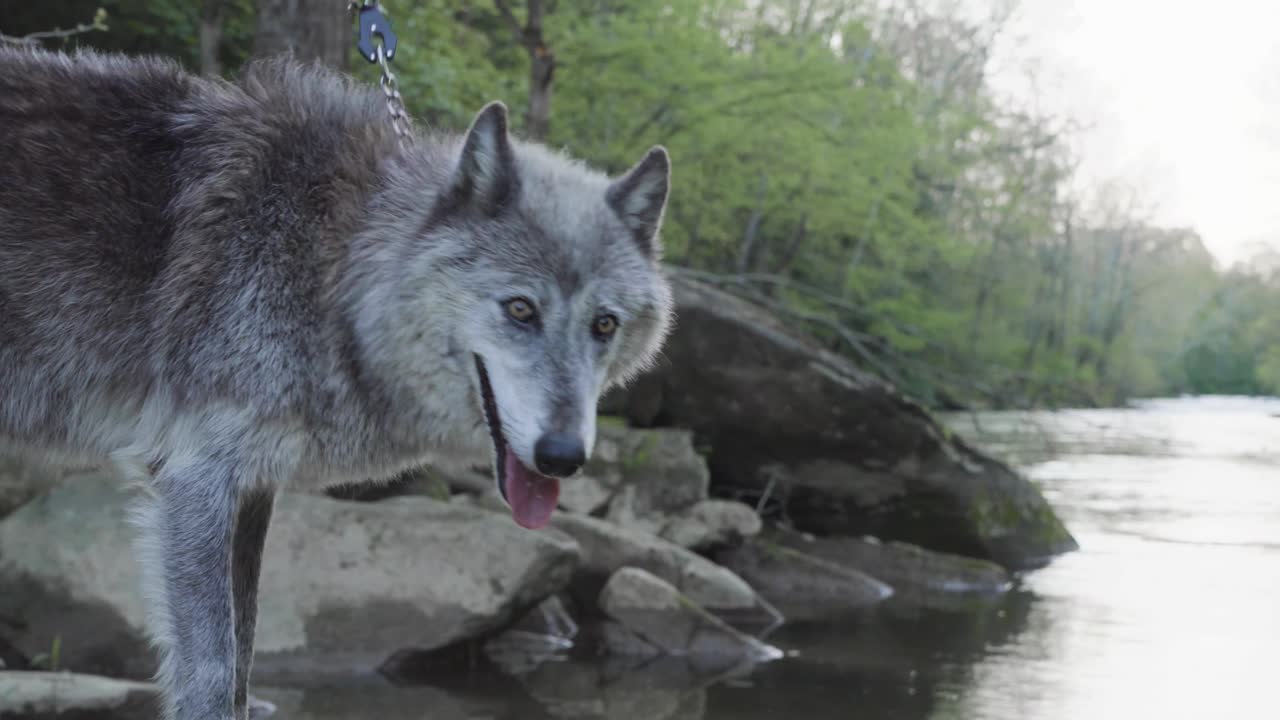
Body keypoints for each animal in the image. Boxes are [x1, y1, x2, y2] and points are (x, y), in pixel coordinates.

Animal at [0, 46, 674, 719]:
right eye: (521, 310)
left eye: (604, 324)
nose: (563, 456)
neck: (333, 262)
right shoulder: (194, 480)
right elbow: (213, 675)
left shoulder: (251, 488)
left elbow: (244, 664)